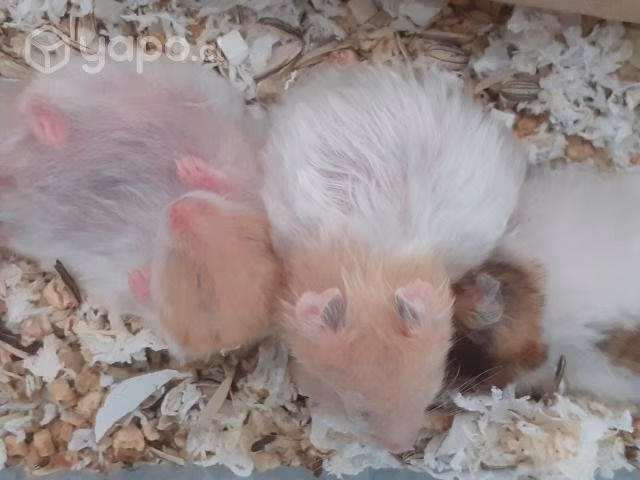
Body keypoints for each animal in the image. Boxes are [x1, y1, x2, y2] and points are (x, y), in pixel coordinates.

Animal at [0, 56, 273, 356]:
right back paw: (51, 129)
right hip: (97, 83)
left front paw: (140, 278)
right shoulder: (249, 185)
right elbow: (226, 180)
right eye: (253, 238)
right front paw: (188, 167)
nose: (180, 208)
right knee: (33, 98)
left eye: (200, 286)